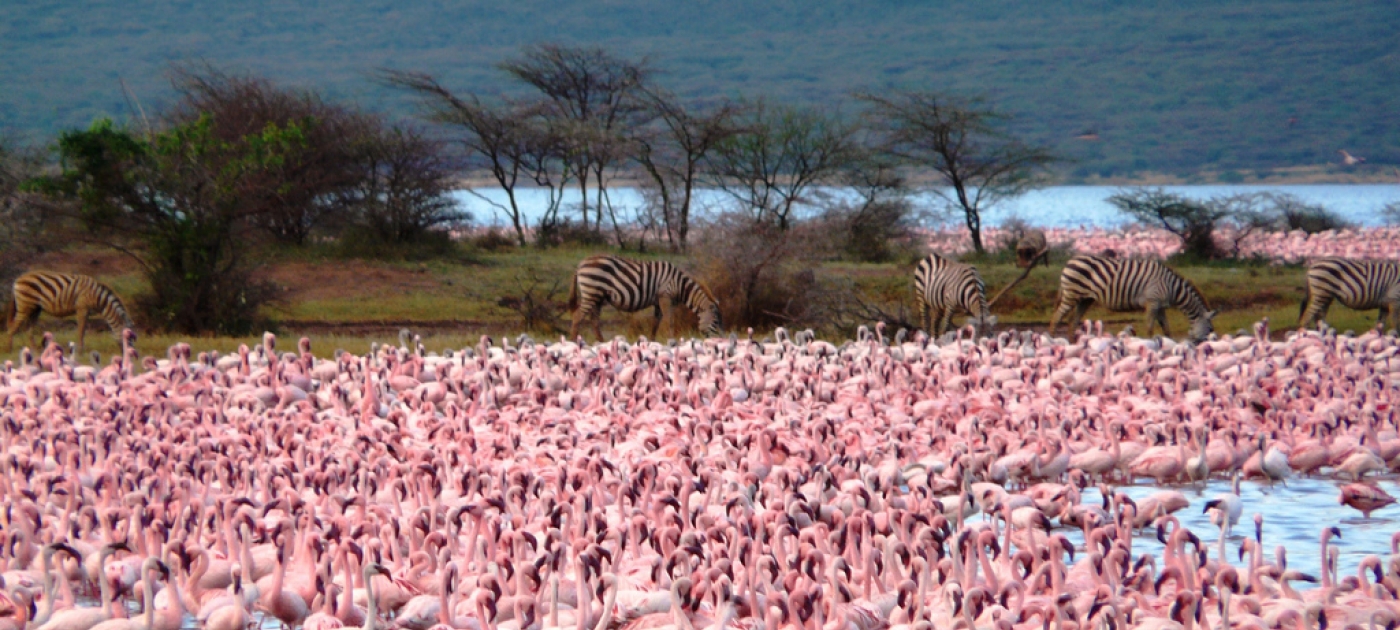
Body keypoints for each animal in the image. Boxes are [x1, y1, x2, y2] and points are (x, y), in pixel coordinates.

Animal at [6, 268, 136, 351]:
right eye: (129, 338)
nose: (132, 354)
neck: (99, 299)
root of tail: (18, 279)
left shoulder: (86, 311)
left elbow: (82, 330)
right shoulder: (82, 308)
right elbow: (81, 330)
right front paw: (81, 350)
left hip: (35, 309)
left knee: (29, 329)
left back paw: (34, 349)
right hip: (25, 306)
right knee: (13, 327)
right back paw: (9, 349)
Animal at [565, 254, 722, 341]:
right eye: (716, 322)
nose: (721, 340)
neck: (679, 284)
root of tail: (580, 265)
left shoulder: (658, 302)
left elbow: (655, 323)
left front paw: (652, 342)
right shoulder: (665, 297)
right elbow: (669, 321)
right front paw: (671, 342)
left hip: (598, 297)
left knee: (594, 321)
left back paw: (602, 343)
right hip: (591, 293)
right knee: (578, 316)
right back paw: (573, 342)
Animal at [1052, 254, 1215, 341]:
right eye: (1210, 329)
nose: (1202, 345)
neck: (1171, 287)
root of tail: (1070, 261)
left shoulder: (1160, 306)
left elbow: (1166, 328)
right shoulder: (1152, 302)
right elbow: (1149, 327)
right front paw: (1150, 344)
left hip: (1085, 299)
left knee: (1073, 320)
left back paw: (1072, 343)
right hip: (1071, 294)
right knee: (1057, 317)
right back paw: (1053, 340)